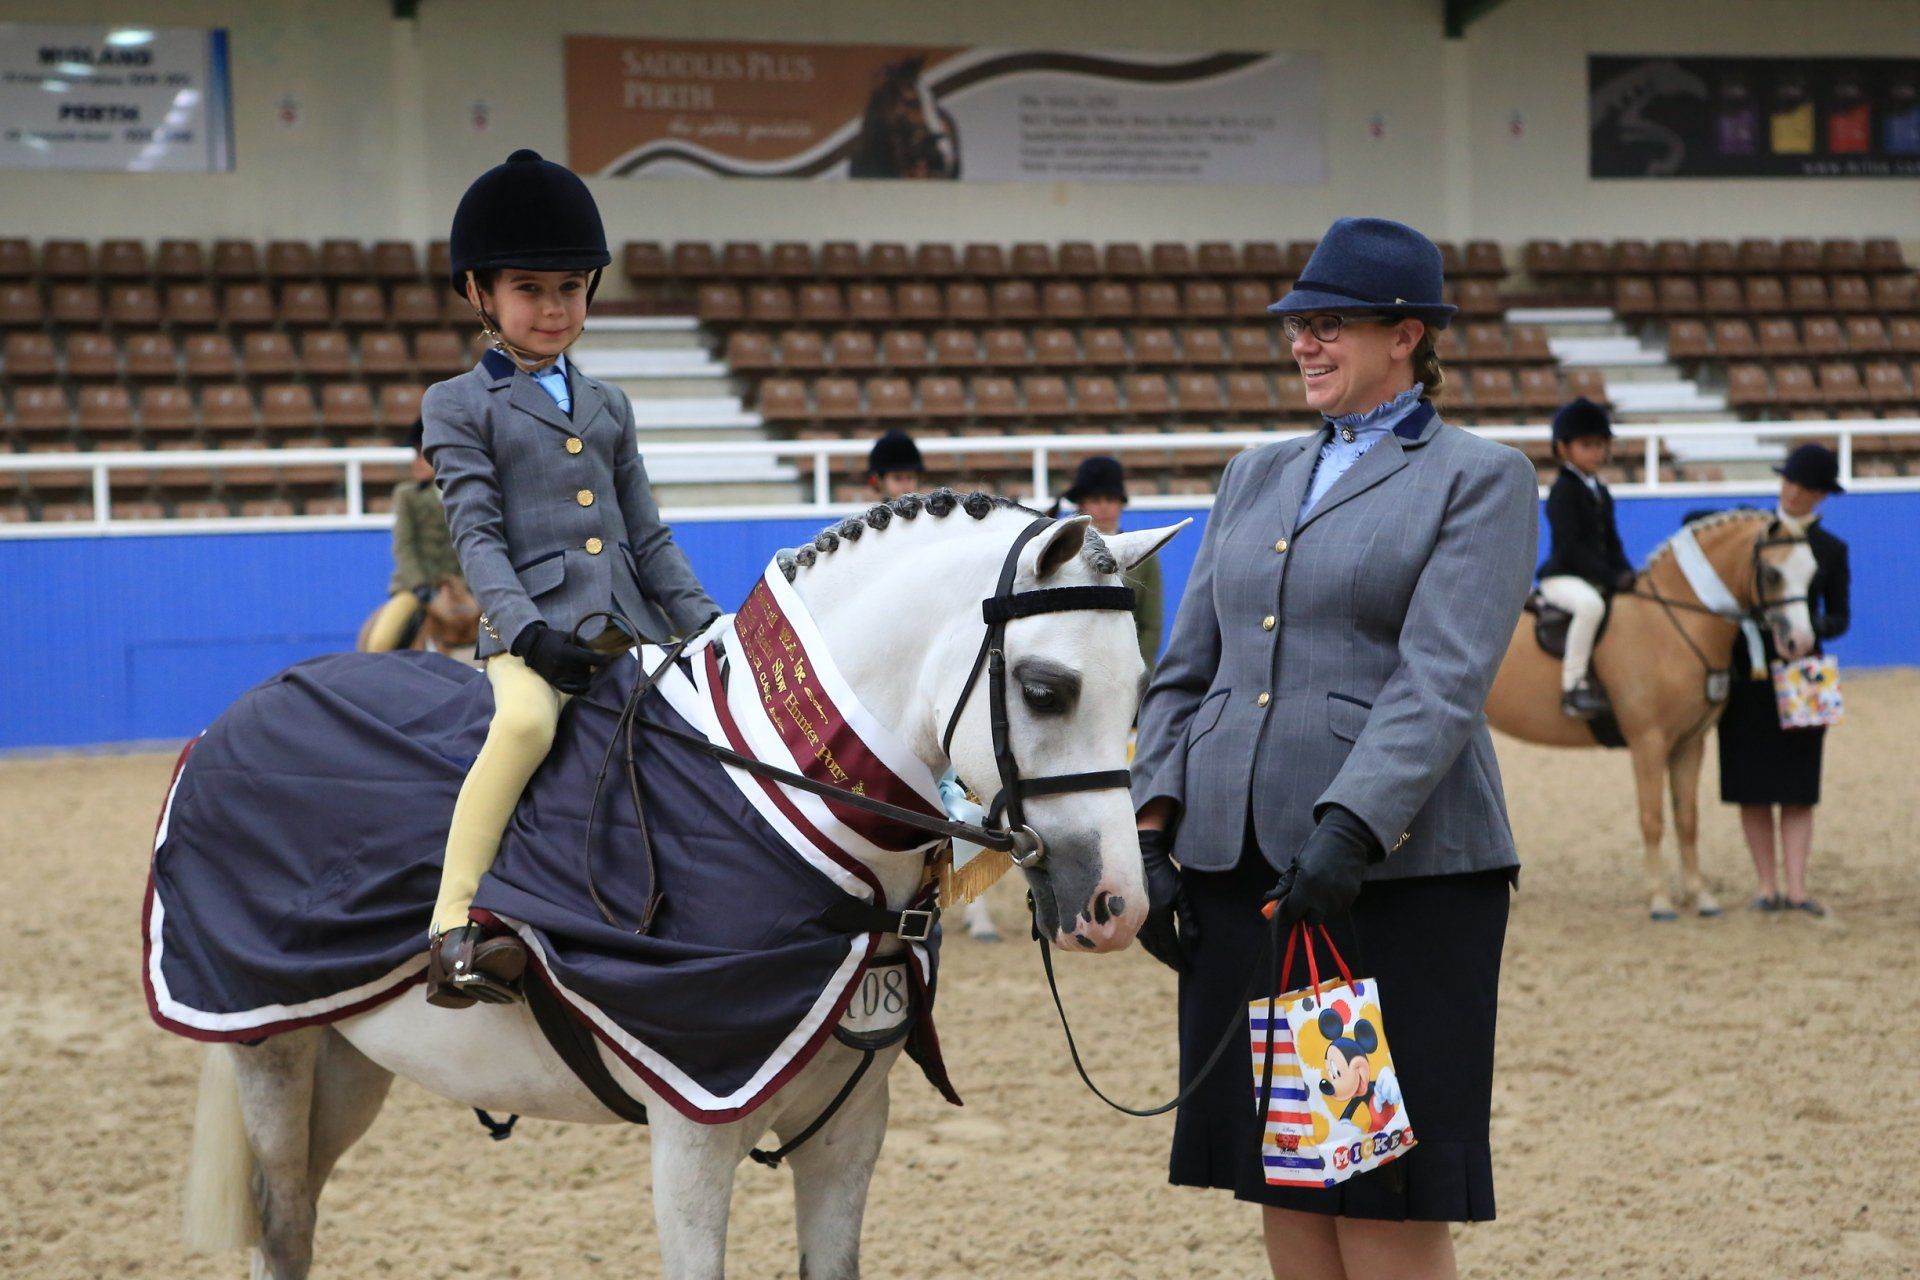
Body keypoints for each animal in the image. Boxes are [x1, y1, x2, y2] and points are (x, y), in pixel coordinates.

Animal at [174, 494, 1183, 1280]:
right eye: (1047, 689)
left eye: (1142, 686)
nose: (1117, 905)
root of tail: (239, 712)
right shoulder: (693, 1131)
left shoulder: (852, 1124)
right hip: (269, 1047)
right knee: (282, 1227)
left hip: (346, 1059)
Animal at [1485, 508, 1818, 920]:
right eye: (1772, 573)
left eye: (1812, 572)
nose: (1799, 643)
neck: (1672, 621)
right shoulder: (1649, 742)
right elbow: (1653, 819)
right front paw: (1659, 900)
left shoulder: (1690, 743)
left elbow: (1687, 819)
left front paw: (1699, 895)